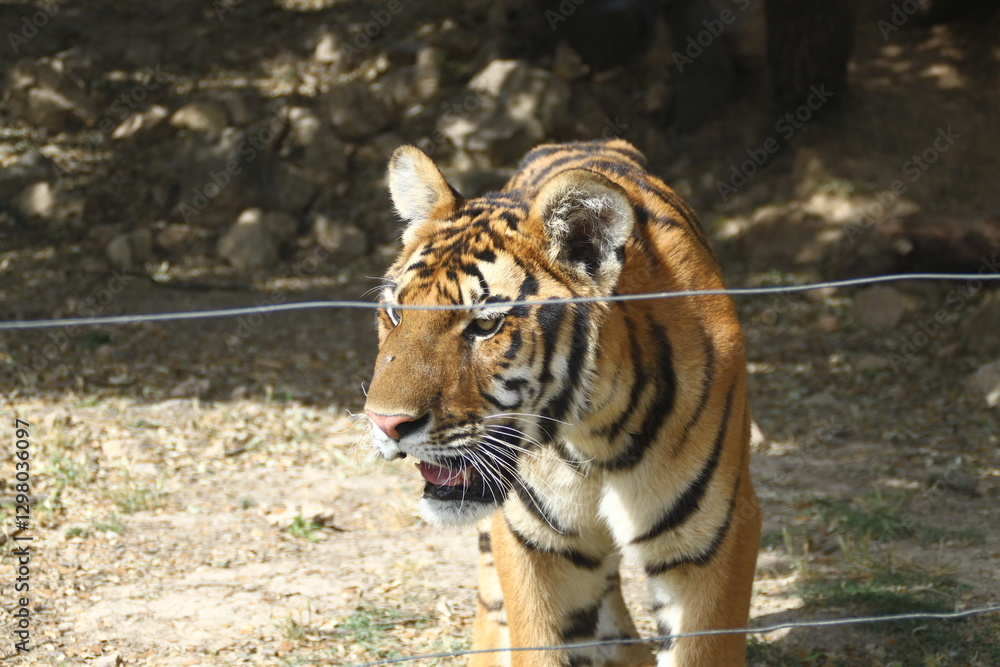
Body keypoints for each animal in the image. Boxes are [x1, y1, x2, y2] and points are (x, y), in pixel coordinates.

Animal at [363, 139, 760, 667]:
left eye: (485, 325)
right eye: (395, 313)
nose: (384, 424)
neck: (595, 433)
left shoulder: (715, 541)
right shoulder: (537, 546)